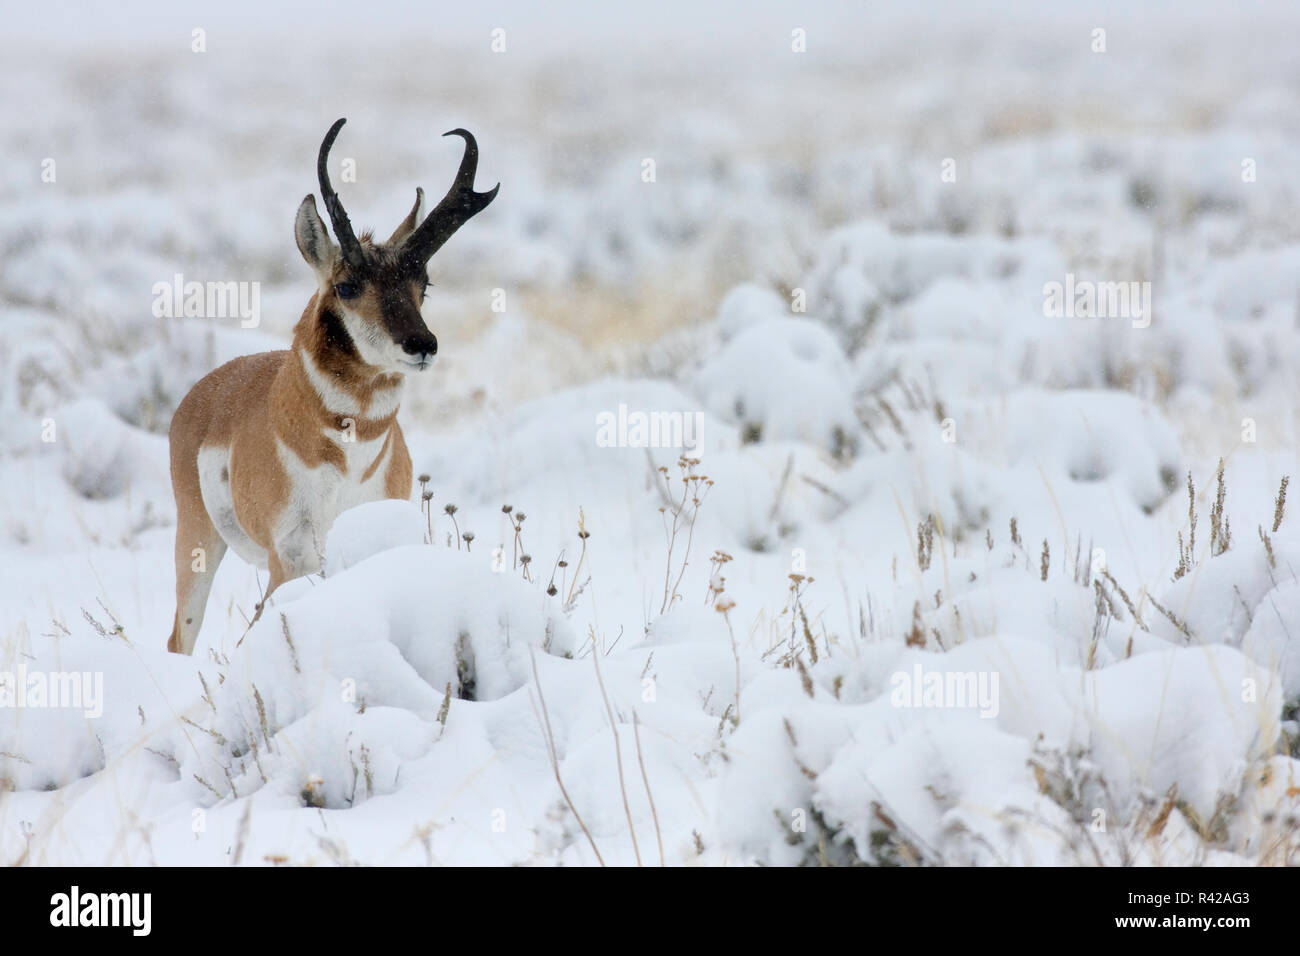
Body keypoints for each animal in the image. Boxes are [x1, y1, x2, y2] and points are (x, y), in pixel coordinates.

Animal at [166, 117, 496, 658]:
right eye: (347, 286)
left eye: (423, 284)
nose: (422, 344)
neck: (348, 459)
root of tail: (207, 388)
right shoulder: (290, 562)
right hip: (196, 540)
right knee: (180, 637)